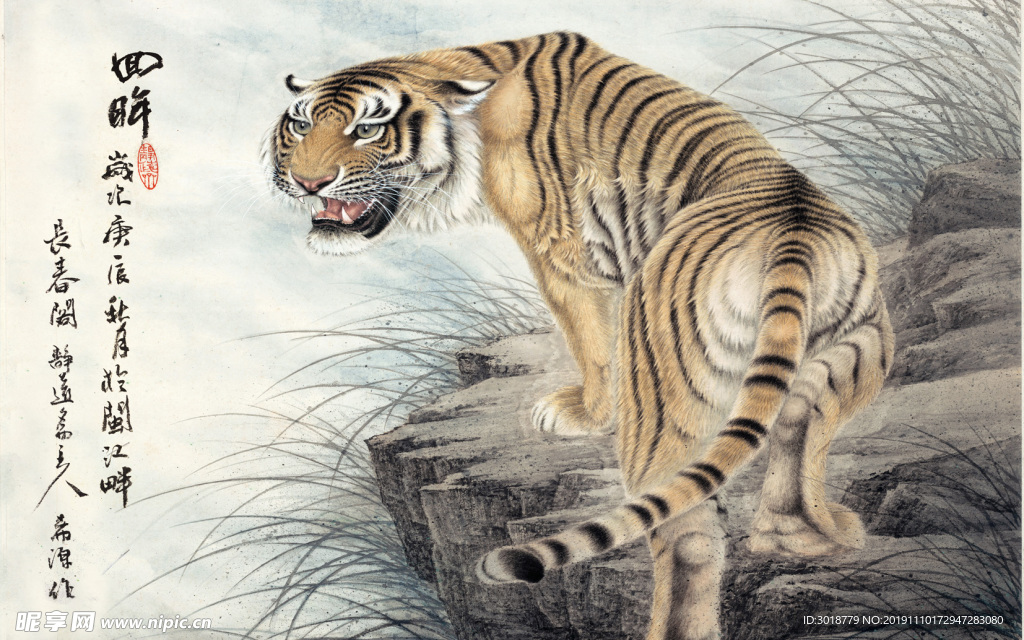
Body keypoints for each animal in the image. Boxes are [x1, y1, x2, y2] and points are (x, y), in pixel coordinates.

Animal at [263, 32, 894, 640]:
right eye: (300, 124)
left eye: (367, 129)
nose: (307, 181)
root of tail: (794, 234)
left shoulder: (562, 256)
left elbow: (591, 341)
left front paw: (581, 414)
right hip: (856, 350)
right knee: (800, 421)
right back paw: (803, 536)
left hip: (669, 392)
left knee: (685, 533)